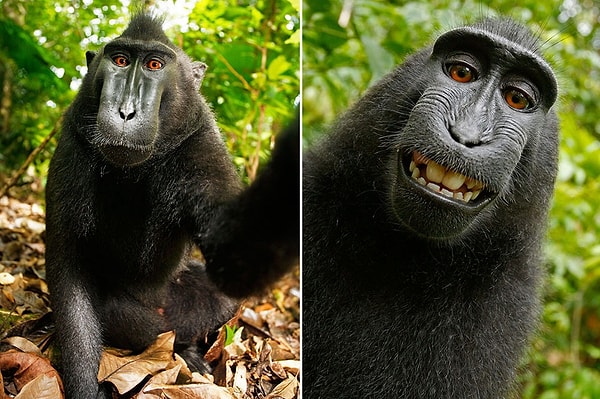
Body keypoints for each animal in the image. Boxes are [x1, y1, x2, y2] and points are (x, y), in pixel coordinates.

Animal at [45, 12, 298, 399]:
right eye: (120, 60)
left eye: (154, 65)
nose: (126, 112)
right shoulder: (73, 146)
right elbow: (69, 270)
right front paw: (85, 389)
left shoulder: (201, 144)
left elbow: (235, 259)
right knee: (122, 314)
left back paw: (189, 351)